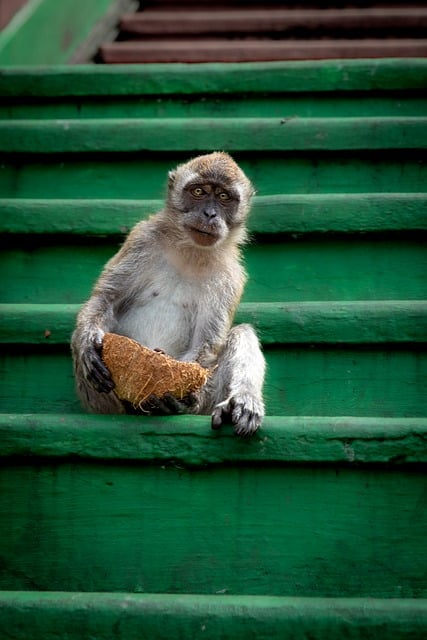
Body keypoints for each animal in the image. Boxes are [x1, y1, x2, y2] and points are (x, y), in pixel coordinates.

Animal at [71, 151, 265, 436]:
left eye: (223, 197)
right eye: (198, 191)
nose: (209, 213)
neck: (190, 251)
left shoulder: (229, 276)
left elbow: (205, 344)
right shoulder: (142, 239)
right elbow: (106, 298)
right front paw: (87, 343)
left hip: (205, 401)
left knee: (241, 333)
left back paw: (239, 402)